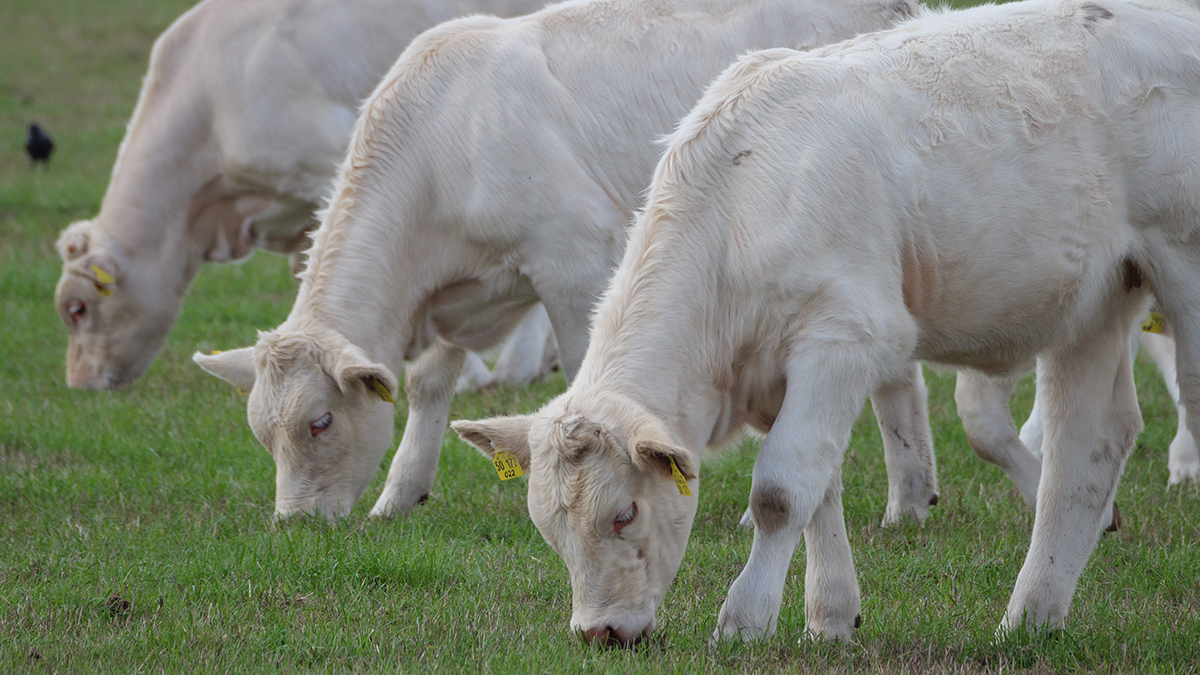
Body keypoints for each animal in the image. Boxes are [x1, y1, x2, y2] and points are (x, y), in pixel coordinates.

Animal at [192, 0, 916, 516]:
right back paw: (913, 496)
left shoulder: (574, 258)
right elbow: (429, 385)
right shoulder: (450, 297)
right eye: (262, 432)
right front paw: (399, 495)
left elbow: (576, 367)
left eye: (319, 422)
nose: (294, 521)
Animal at [453, 0, 1200, 638]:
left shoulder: (846, 339)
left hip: (1180, 269)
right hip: (1096, 305)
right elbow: (818, 489)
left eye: (625, 512)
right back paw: (1031, 618)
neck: (741, 204)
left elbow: (781, 491)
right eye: (550, 528)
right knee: (1086, 451)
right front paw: (830, 616)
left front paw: (745, 619)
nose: (598, 632)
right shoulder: (782, 373)